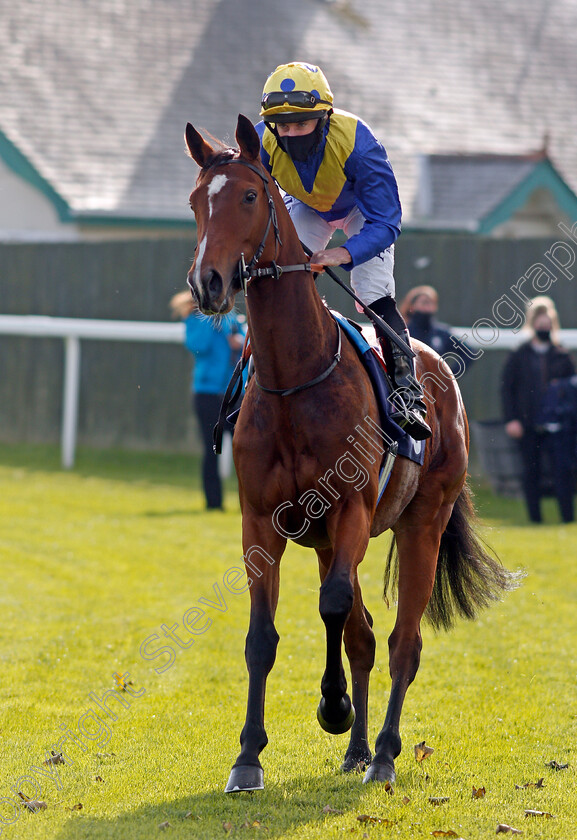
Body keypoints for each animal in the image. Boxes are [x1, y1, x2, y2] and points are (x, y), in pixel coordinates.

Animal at [183, 115, 512, 792]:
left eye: (249, 196)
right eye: (197, 202)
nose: (208, 283)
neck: (295, 379)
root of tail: (443, 376)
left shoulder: (351, 511)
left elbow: (334, 609)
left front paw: (332, 707)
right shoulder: (262, 522)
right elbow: (262, 636)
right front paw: (248, 756)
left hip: (421, 520)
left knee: (402, 642)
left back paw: (382, 752)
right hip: (330, 540)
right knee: (363, 635)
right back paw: (358, 749)